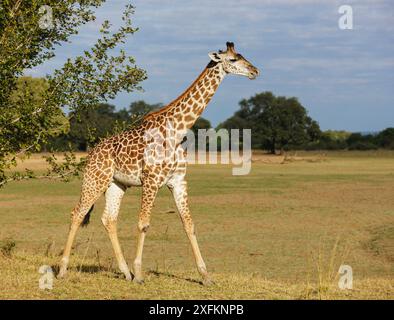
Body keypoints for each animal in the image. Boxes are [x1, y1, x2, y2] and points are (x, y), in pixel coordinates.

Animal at [57, 41, 258, 284]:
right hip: (95, 179)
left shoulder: (178, 181)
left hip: (116, 184)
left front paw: (205, 276)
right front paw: (140, 274)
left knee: (109, 219)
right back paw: (62, 270)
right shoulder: (151, 180)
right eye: (233, 59)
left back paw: (124, 272)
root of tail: (92, 153)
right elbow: (143, 224)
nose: (255, 71)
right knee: (77, 213)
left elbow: (189, 224)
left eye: (242, 56)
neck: (178, 129)